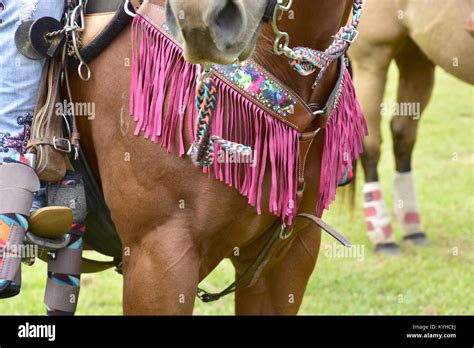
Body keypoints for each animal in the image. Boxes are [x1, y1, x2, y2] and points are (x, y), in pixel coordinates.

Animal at [348, 0, 474, 254]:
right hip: (372, 58)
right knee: (371, 145)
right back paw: (382, 234)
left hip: (417, 55)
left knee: (403, 135)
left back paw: (413, 229)